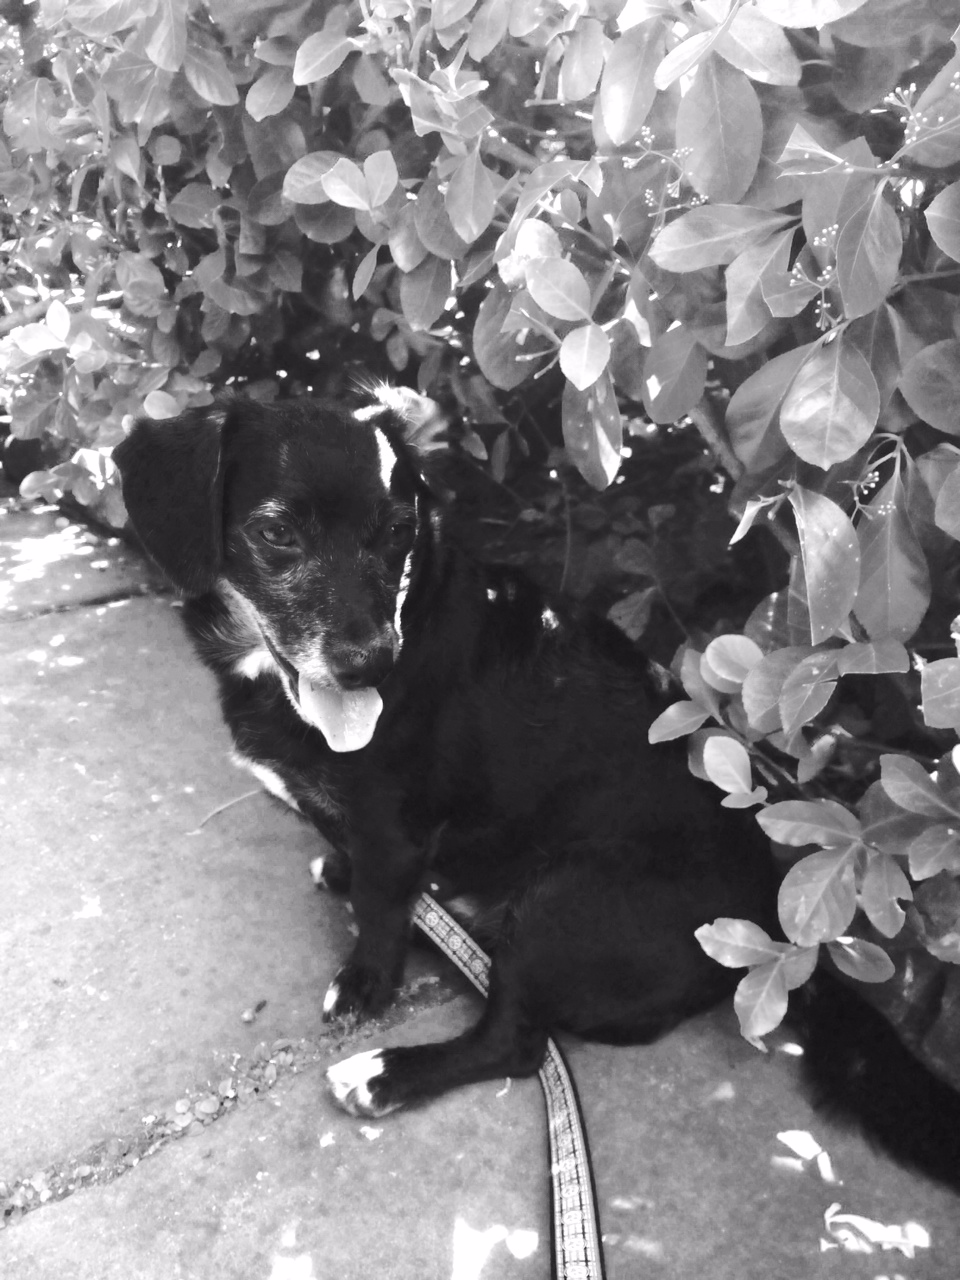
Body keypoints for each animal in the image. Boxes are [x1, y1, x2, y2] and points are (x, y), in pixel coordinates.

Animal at [115, 389, 960, 1192]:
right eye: (275, 534)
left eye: (397, 531)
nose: (371, 665)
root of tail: (779, 926)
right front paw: (341, 874)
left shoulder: (396, 830)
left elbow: (382, 918)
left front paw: (364, 986)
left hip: (560, 904)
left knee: (517, 1044)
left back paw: (384, 1076)